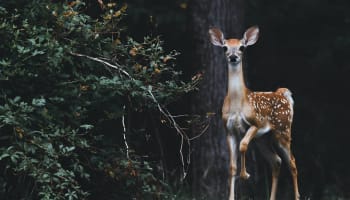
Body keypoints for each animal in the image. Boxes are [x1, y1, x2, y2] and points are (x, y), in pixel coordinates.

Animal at [209, 25, 300, 200]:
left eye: (242, 47)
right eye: (225, 47)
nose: (233, 57)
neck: (237, 104)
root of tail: (283, 94)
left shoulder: (255, 123)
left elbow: (243, 145)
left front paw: (245, 175)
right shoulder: (229, 130)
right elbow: (231, 166)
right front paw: (231, 196)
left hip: (283, 130)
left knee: (292, 161)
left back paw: (297, 196)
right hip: (263, 139)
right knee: (276, 161)